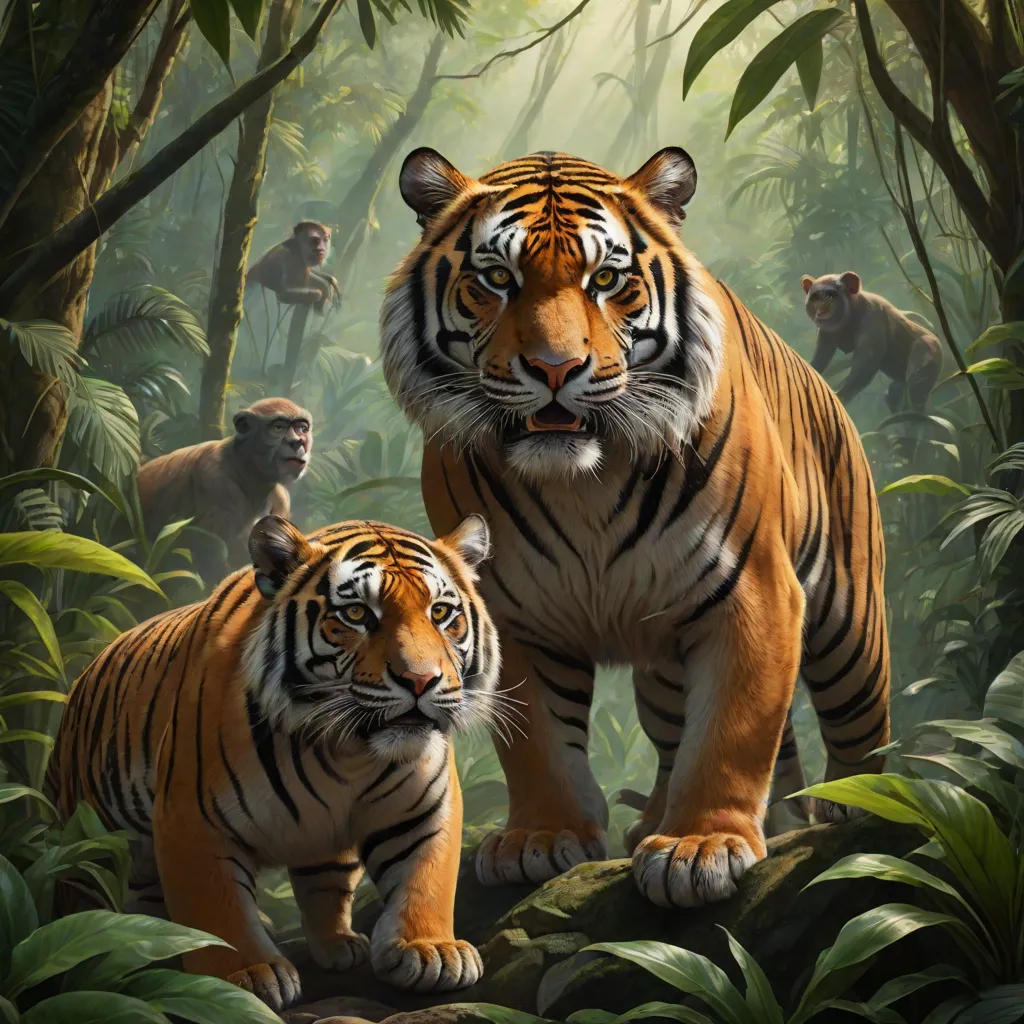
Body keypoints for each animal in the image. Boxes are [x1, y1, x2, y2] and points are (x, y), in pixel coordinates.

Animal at [48, 513, 499, 1010]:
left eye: (440, 613)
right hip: (86, 843)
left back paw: (336, 945)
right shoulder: (190, 821)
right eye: (356, 614)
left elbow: (427, 877)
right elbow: (216, 909)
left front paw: (430, 949)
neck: (347, 753)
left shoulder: (424, 809)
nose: (421, 681)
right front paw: (243, 974)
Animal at [136, 398, 313, 581]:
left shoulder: (281, 498)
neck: (246, 469)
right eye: (278, 427)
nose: (298, 442)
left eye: (302, 429)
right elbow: (213, 559)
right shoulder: (216, 483)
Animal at [380, 146, 890, 908]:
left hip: (849, 624)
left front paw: (700, 846)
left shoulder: (754, 593)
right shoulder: (512, 611)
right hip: (665, 664)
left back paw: (857, 802)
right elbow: (538, 742)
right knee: (675, 732)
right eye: (497, 278)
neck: (583, 481)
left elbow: (732, 729)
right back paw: (651, 819)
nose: (555, 368)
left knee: (859, 720)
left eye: (606, 280)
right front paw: (543, 839)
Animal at [802, 272, 942, 411]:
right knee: (894, 391)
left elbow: (866, 364)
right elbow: (821, 357)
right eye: (814, 298)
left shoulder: (873, 318)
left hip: (929, 349)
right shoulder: (825, 332)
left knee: (916, 383)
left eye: (829, 296)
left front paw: (838, 397)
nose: (820, 311)